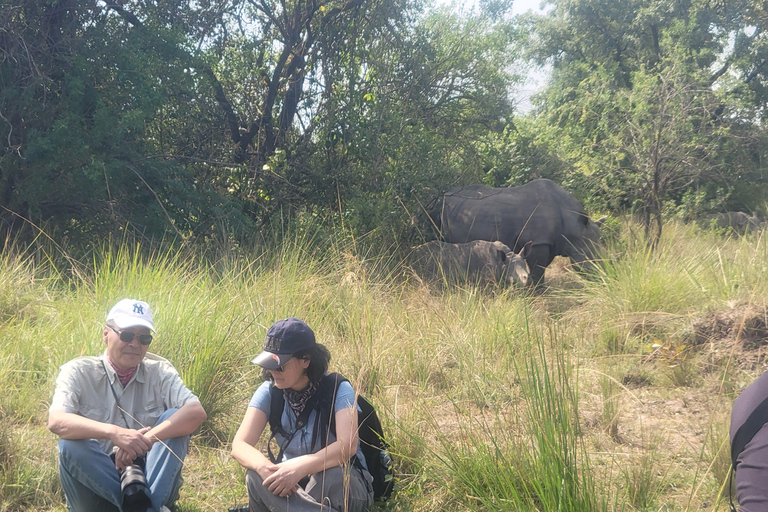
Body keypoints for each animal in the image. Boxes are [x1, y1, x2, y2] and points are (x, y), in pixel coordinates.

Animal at [437, 179, 603, 285]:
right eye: (591, 258)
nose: (602, 278)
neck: (574, 227)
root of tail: (444, 196)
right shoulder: (538, 242)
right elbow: (537, 272)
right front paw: (536, 295)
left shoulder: (550, 243)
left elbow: (541, 270)